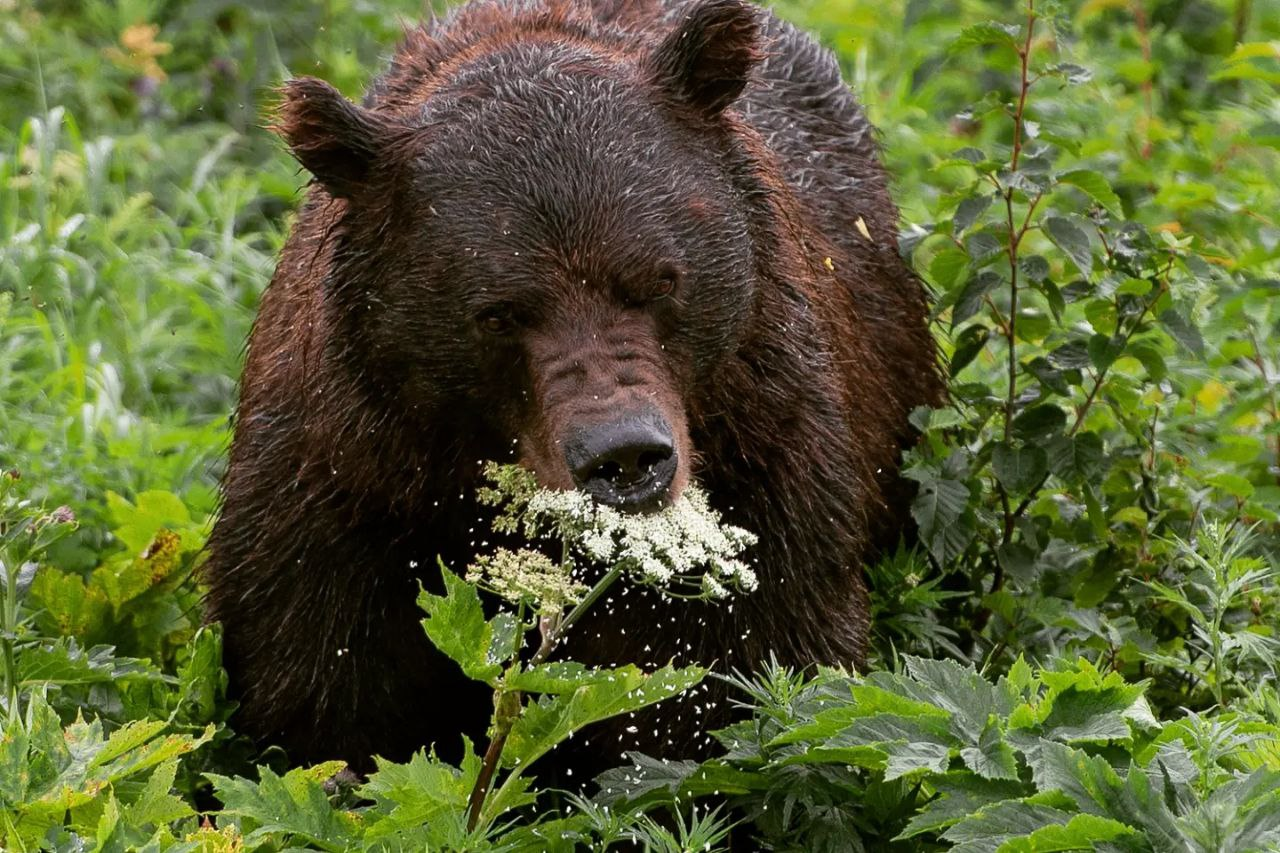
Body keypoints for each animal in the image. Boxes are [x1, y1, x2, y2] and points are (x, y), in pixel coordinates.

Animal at [204, 0, 947, 773]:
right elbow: (321, 695)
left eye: (659, 279)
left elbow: (753, 668)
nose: (624, 454)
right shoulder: (346, 485)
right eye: (499, 312)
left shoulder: (768, 450)